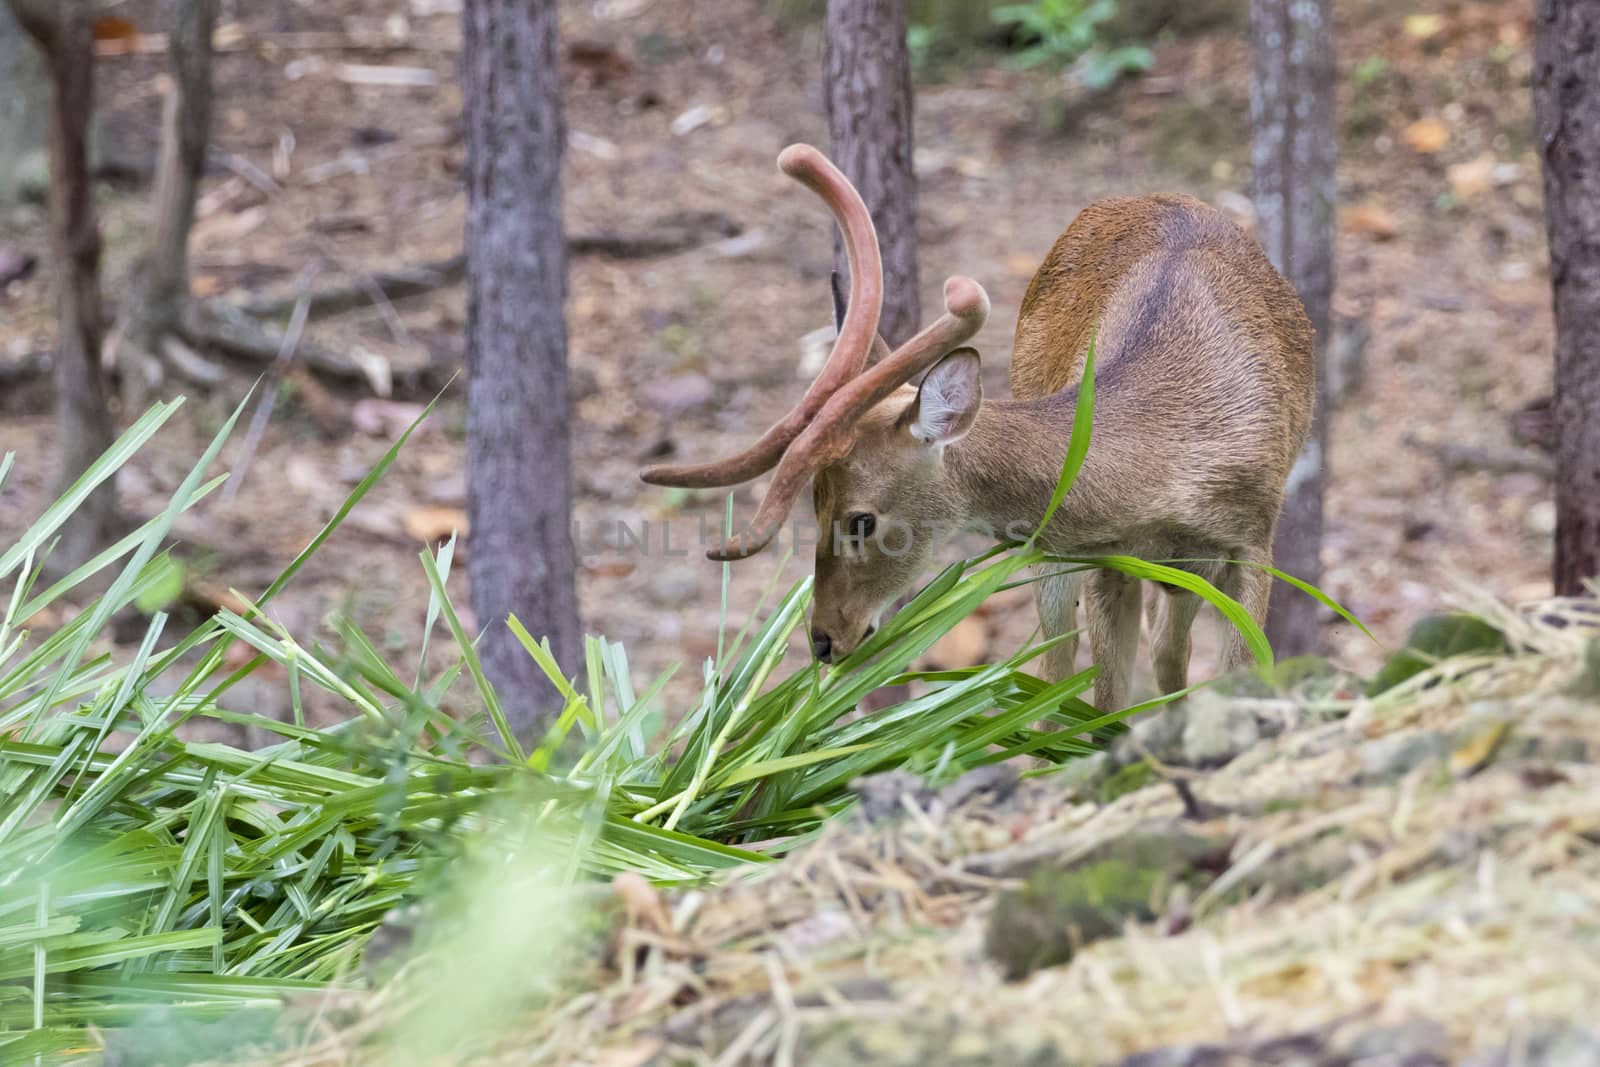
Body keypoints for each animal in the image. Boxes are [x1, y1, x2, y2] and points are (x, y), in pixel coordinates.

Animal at [636, 141, 1312, 710]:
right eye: (814, 502)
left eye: (861, 519)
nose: (823, 641)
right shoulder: (1103, 560)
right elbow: (1102, 705)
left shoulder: (1255, 540)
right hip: (1053, 556)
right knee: (1070, 669)